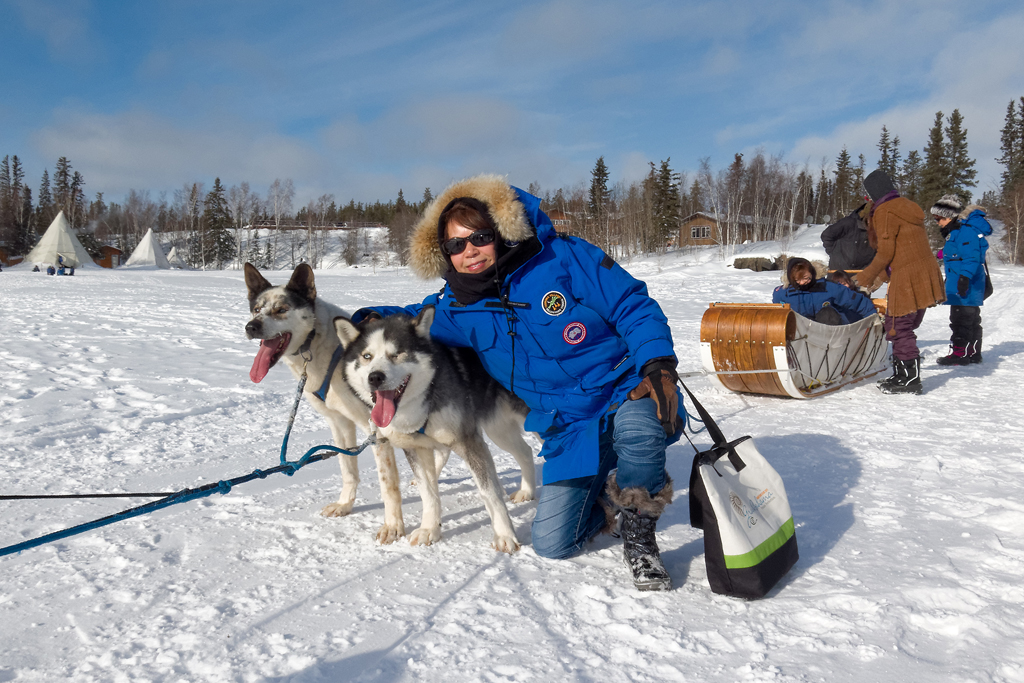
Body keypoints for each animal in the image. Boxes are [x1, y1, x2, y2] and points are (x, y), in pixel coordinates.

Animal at [241, 262, 413, 544]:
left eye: (281, 309)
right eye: (256, 309)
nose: (251, 326)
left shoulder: (378, 433)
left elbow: (388, 485)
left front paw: (393, 526)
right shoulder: (339, 423)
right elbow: (348, 469)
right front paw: (345, 505)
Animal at [339, 307, 540, 552]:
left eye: (397, 354)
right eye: (366, 356)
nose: (375, 377)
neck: (427, 397)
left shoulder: (469, 442)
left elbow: (489, 492)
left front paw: (505, 535)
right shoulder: (416, 449)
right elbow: (428, 493)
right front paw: (429, 529)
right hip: (498, 430)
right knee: (525, 451)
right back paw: (527, 491)